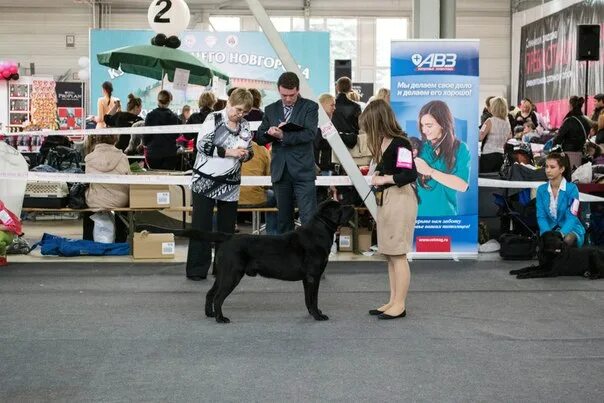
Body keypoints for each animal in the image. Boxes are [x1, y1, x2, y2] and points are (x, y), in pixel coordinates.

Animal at [143, 200, 354, 324]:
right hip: (232, 275)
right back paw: (221, 318)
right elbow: (313, 298)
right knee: (218, 297)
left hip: (223, 273)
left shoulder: (307, 279)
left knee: (210, 293)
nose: (352, 206)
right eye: (340, 208)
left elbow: (308, 299)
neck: (319, 231)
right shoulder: (313, 276)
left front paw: (313, 314)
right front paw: (318, 316)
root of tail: (227, 237)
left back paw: (210, 314)